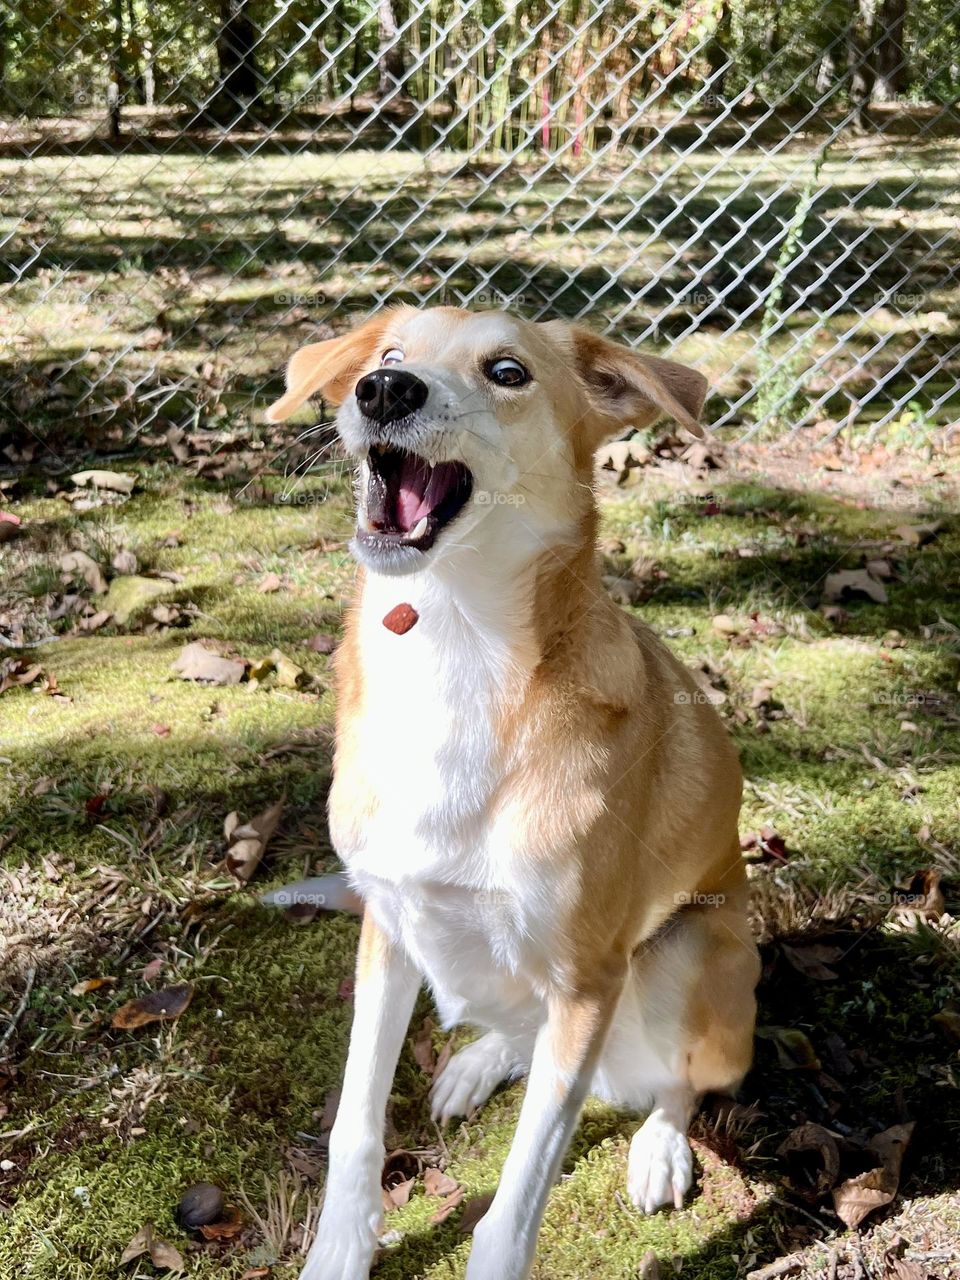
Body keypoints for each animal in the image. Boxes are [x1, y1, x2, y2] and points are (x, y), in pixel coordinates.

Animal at [263, 307, 757, 1280]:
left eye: (507, 371)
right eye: (390, 354)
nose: (385, 389)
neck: (452, 642)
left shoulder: (588, 981)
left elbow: (516, 1203)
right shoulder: (388, 926)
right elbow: (355, 1128)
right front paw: (339, 1250)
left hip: (689, 953)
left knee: (675, 1083)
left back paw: (658, 1145)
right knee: (517, 1029)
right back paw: (479, 1061)